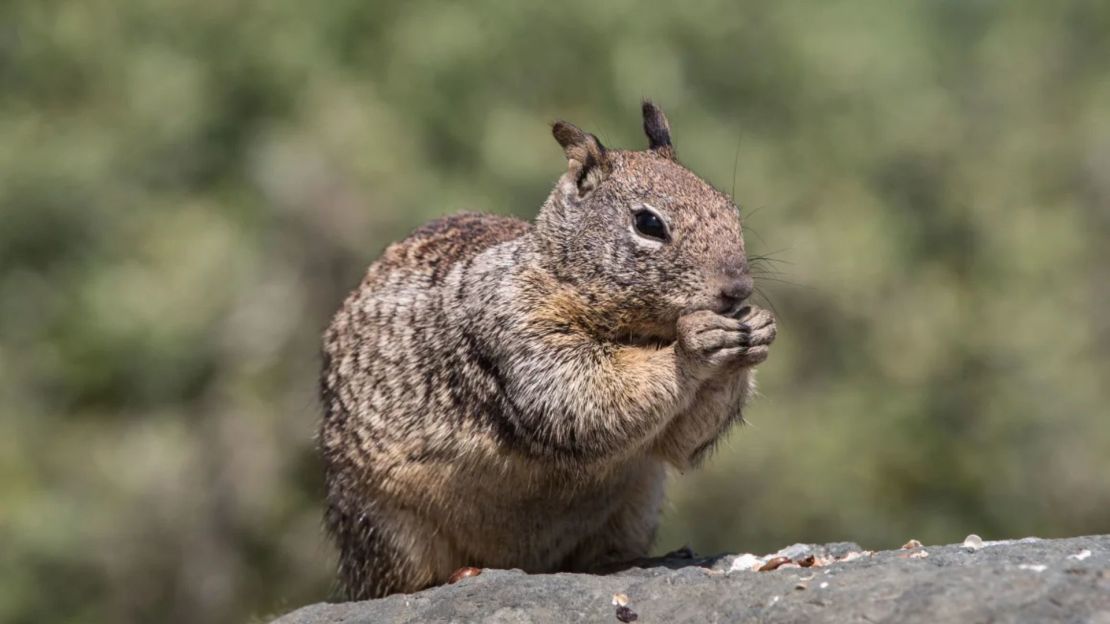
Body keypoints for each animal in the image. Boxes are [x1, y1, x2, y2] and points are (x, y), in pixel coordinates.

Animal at [317, 102, 777, 599]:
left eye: (729, 207)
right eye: (649, 224)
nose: (737, 289)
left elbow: (680, 443)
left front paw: (758, 327)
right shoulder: (517, 329)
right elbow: (583, 393)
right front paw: (694, 343)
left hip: (638, 502)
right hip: (388, 528)